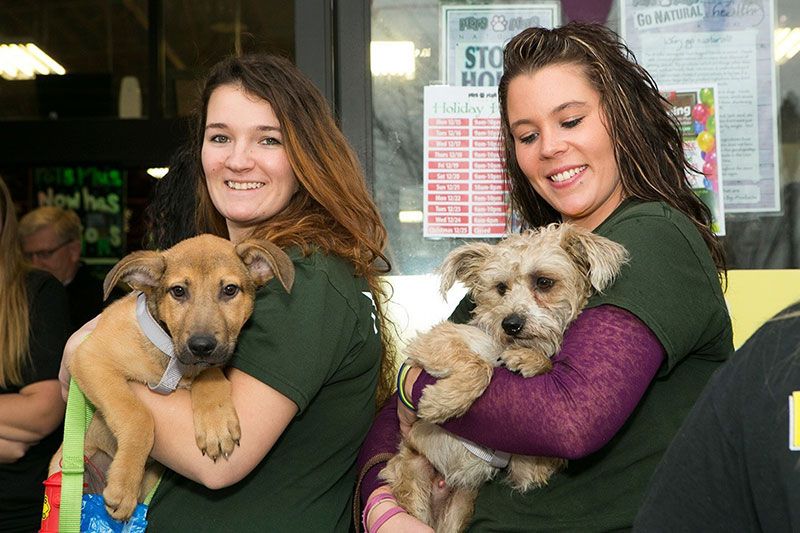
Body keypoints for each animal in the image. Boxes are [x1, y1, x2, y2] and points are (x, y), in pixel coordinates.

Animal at [52, 233, 294, 520]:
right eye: (178, 291)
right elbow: (138, 415)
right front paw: (124, 485)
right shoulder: (90, 357)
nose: (201, 345)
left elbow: (211, 373)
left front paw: (216, 424)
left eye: (230, 290)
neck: (170, 359)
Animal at [382, 222, 632, 528]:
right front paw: (442, 402)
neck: (503, 346)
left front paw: (531, 360)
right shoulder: (434, 341)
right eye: (500, 287)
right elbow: (480, 366)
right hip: (413, 478)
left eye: (544, 282)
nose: (510, 324)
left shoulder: (529, 468)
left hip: (461, 506)